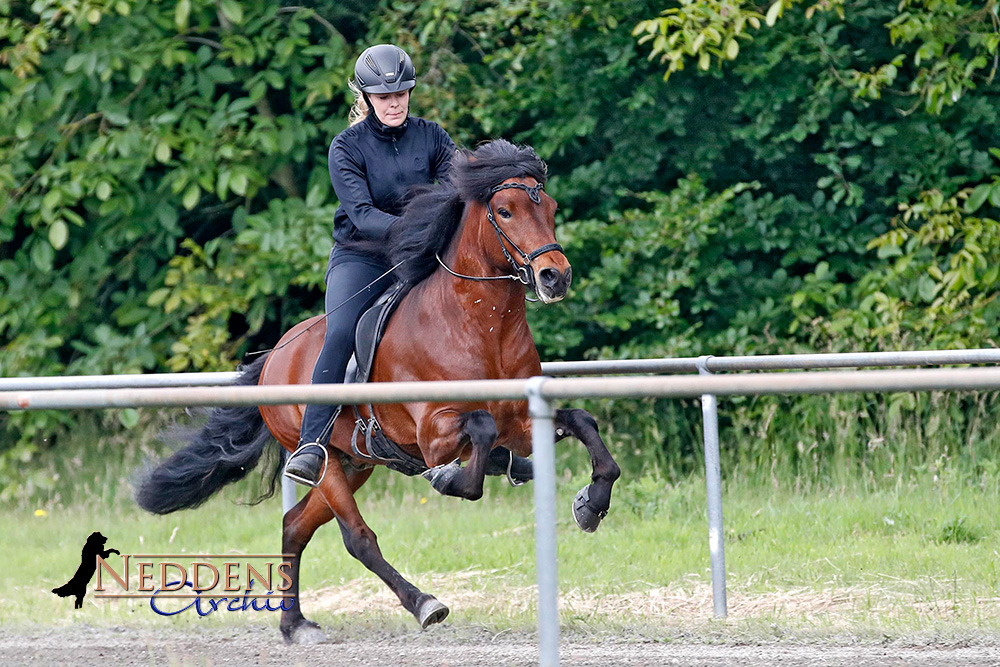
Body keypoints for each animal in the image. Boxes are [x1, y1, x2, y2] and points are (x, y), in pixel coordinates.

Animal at [133, 140, 616, 640]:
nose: (555, 277)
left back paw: (295, 623)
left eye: (551, 208)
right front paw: (449, 478)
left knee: (294, 525)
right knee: (357, 537)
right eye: (504, 210)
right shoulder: (435, 432)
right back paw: (422, 603)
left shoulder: (521, 422)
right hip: (326, 464)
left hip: (354, 463)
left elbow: (582, 422)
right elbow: (478, 437)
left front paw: (591, 503)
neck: (481, 326)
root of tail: (276, 355)